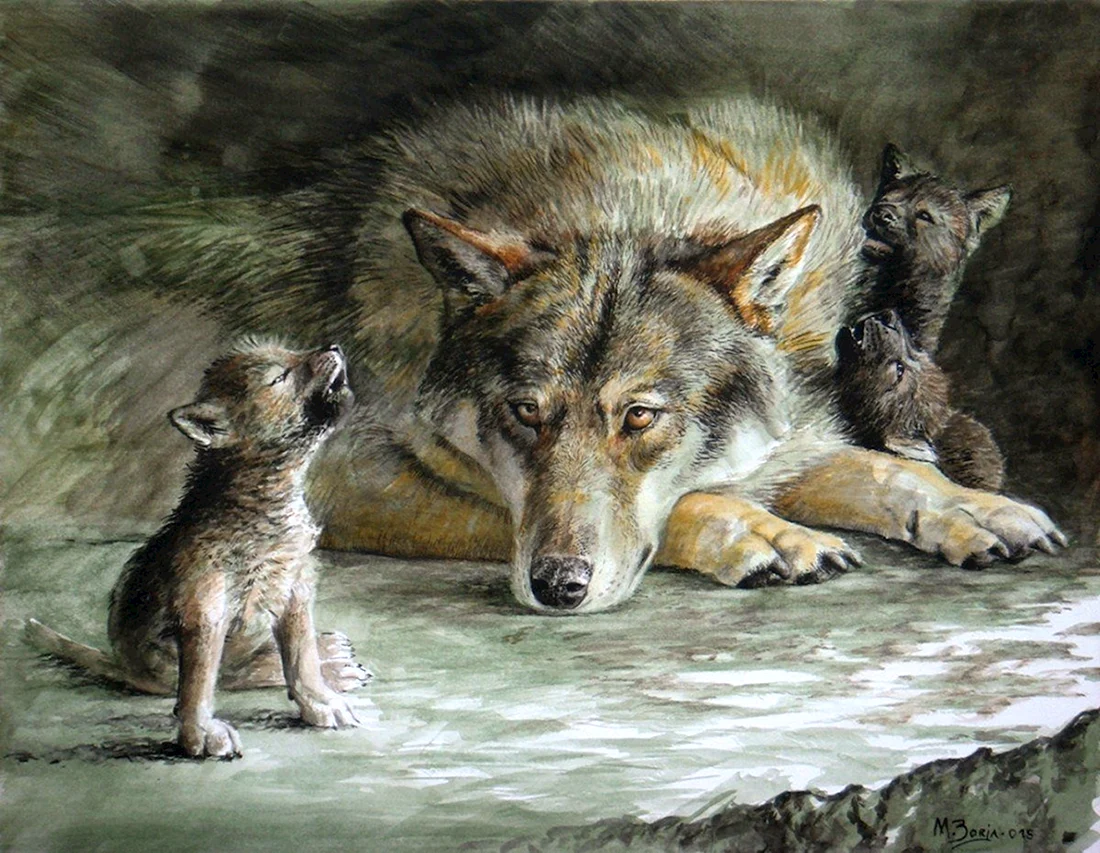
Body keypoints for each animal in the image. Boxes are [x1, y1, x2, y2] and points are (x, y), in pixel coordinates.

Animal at [26, 340, 366, 758]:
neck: (260, 500)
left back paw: (328, 654)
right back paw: (333, 663)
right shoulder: (204, 609)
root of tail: (125, 666)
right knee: (234, 674)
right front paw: (199, 733)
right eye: (280, 378)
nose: (333, 345)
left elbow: (301, 660)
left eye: (291, 354)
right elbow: (200, 684)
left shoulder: (294, 592)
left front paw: (319, 700)